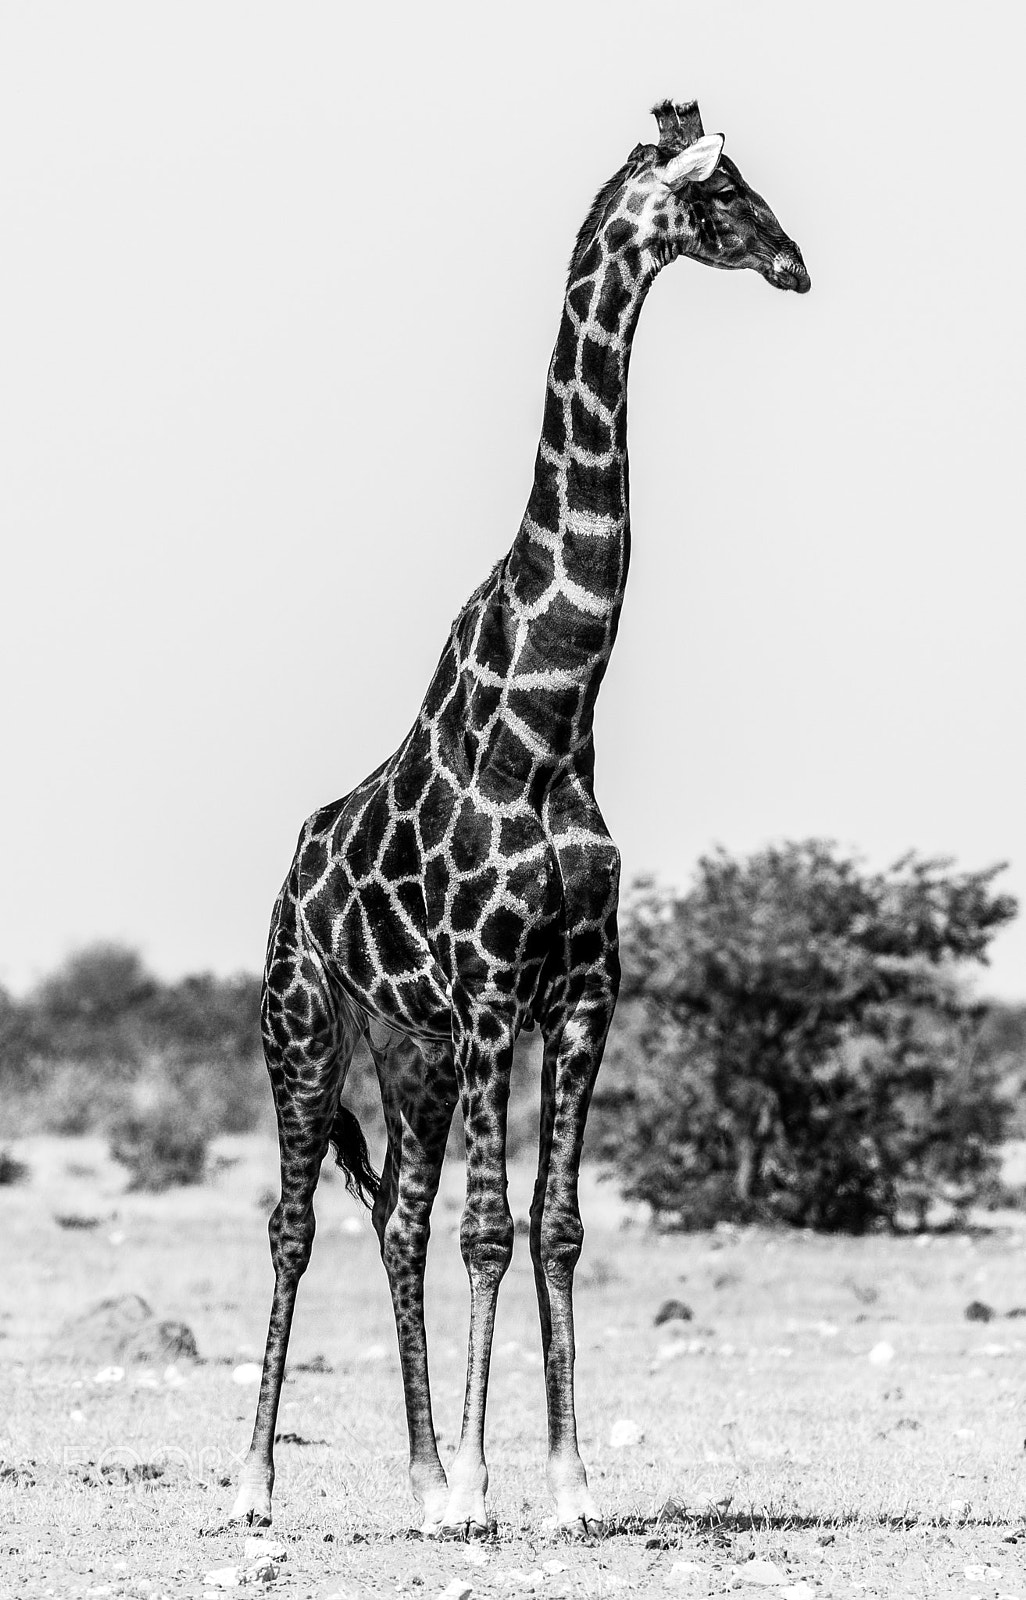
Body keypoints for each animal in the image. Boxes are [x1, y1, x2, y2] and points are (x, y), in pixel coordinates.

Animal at [231, 98, 809, 1539]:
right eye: (723, 194)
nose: (796, 266)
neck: (553, 713)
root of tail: (292, 869)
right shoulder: (497, 984)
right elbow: (491, 1229)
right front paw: (492, 1488)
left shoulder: (587, 987)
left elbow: (554, 1225)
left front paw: (562, 1485)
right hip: (304, 1021)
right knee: (295, 1223)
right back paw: (257, 1483)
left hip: (414, 1049)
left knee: (397, 1220)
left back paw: (422, 1477)